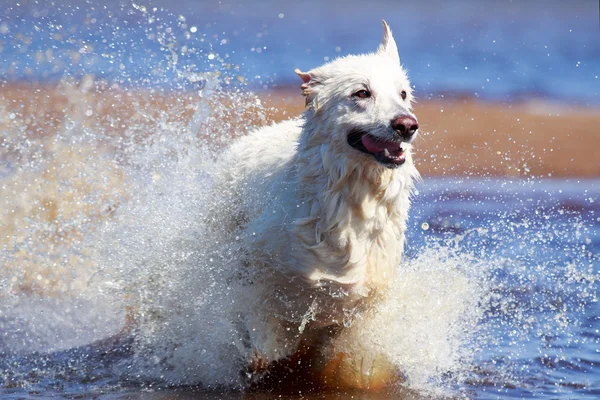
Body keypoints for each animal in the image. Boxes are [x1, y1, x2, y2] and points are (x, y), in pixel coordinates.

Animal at [214, 21, 418, 384]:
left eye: (403, 94)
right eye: (361, 93)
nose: (407, 125)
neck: (351, 198)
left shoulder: (363, 299)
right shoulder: (259, 273)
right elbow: (260, 326)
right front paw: (260, 357)